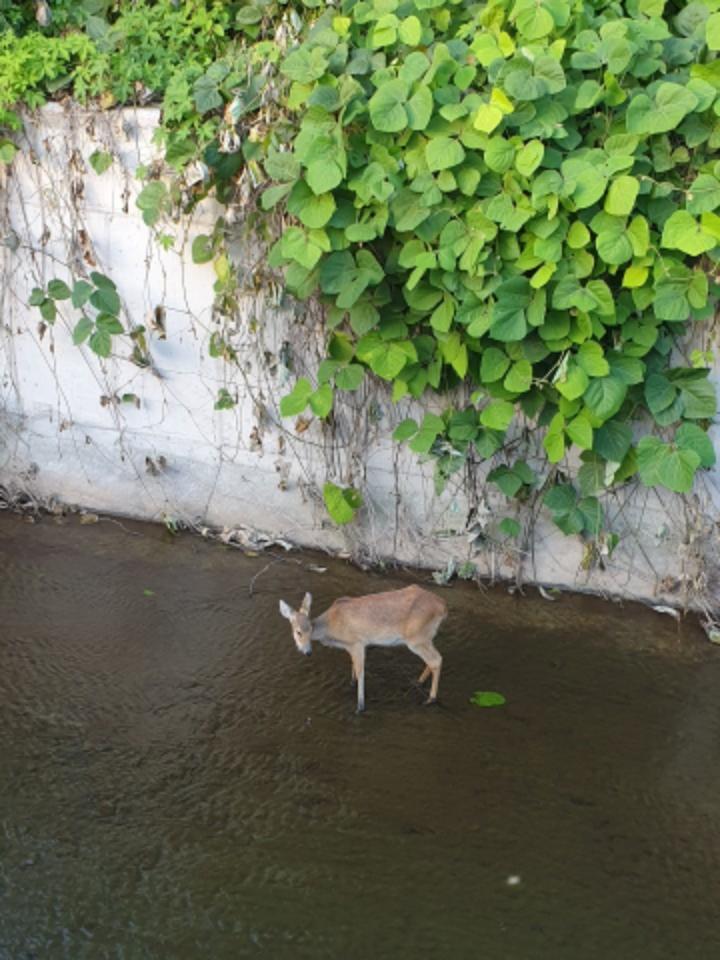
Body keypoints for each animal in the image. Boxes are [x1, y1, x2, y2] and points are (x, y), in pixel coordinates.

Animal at [280, 580, 444, 708]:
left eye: (309, 628)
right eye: (298, 632)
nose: (307, 652)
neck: (332, 630)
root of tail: (443, 608)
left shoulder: (358, 642)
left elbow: (361, 671)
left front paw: (360, 706)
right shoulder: (350, 646)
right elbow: (353, 664)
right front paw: (352, 683)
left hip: (417, 638)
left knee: (436, 659)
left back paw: (431, 698)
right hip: (426, 637)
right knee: (432, 660)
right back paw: (419, 682)